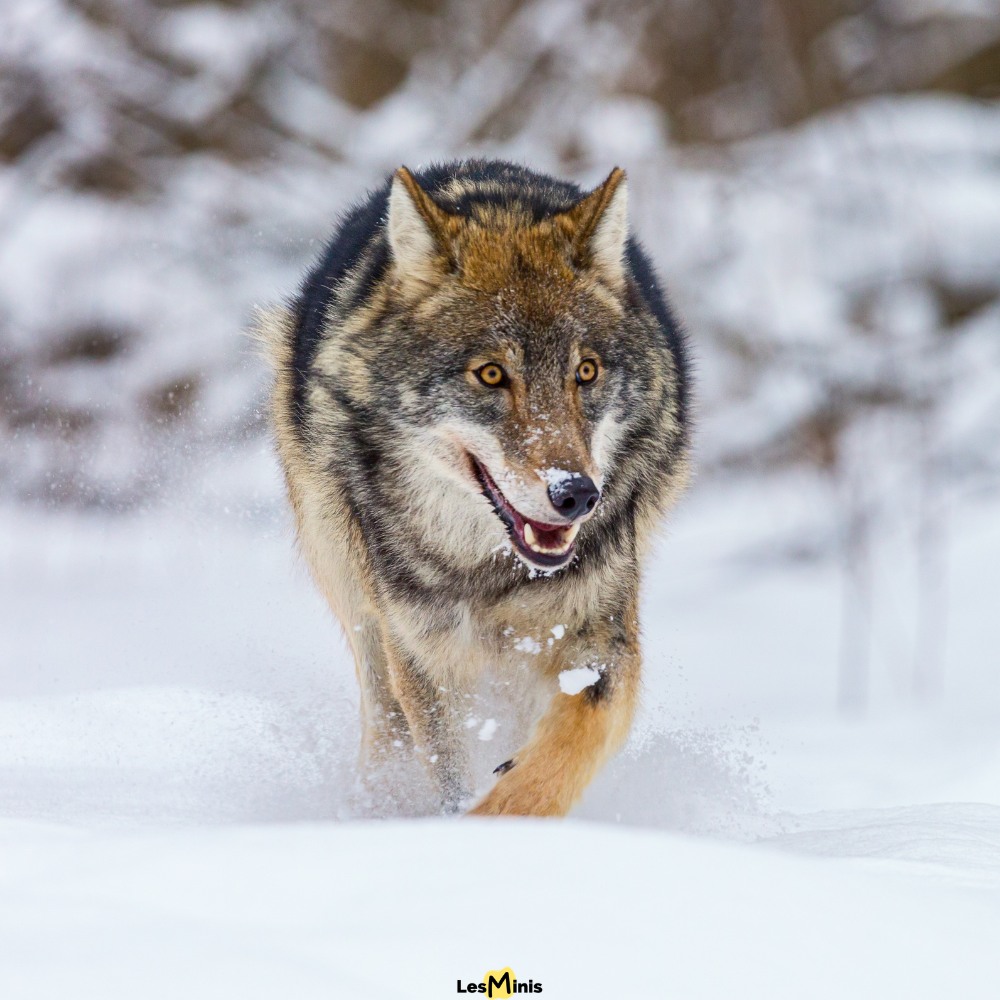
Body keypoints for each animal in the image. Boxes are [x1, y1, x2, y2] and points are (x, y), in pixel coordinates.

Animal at [260, 160, 690, 816]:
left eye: (585, 372)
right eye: (490, 374)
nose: (576, 494)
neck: (492, 573)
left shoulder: (601, 637)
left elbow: (567, 745)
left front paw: (499, 814)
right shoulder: (424, 654)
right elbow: (444, 763)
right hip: (354, 593)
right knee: (383, 722)